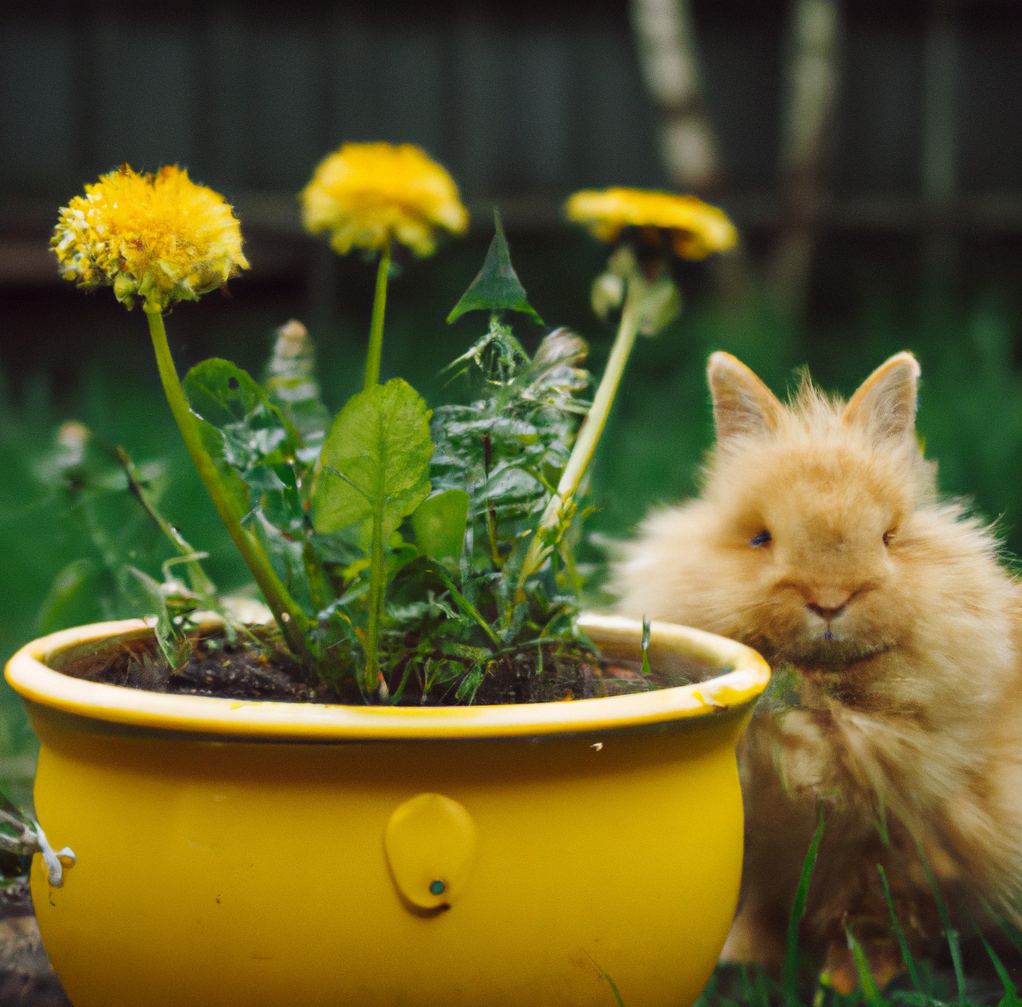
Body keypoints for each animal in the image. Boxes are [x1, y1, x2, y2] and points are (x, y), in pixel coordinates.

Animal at [609, 351, 1021, 989]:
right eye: (760, 537)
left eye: (889, 537)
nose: (830, 600)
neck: (817, 700)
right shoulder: (759, 848)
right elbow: (761, 911)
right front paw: (744, 964)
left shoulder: (897, 845)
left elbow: (874, 916)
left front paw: (849, 983)